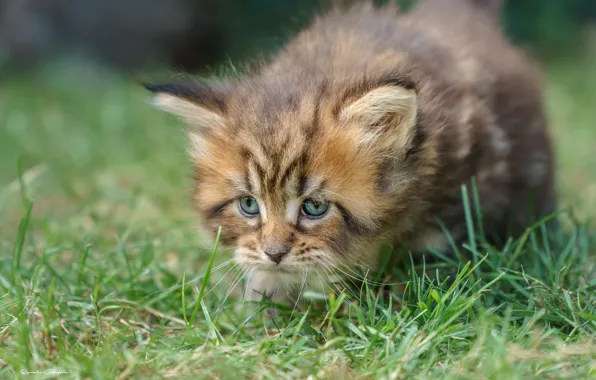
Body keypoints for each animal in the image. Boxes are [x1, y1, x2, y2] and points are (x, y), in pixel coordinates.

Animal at [147, 0, 556, 304]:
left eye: (314, 207)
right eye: (248, 204)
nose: (274, 253)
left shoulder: (459, 191)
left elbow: (430, 257)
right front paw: (262, 308)